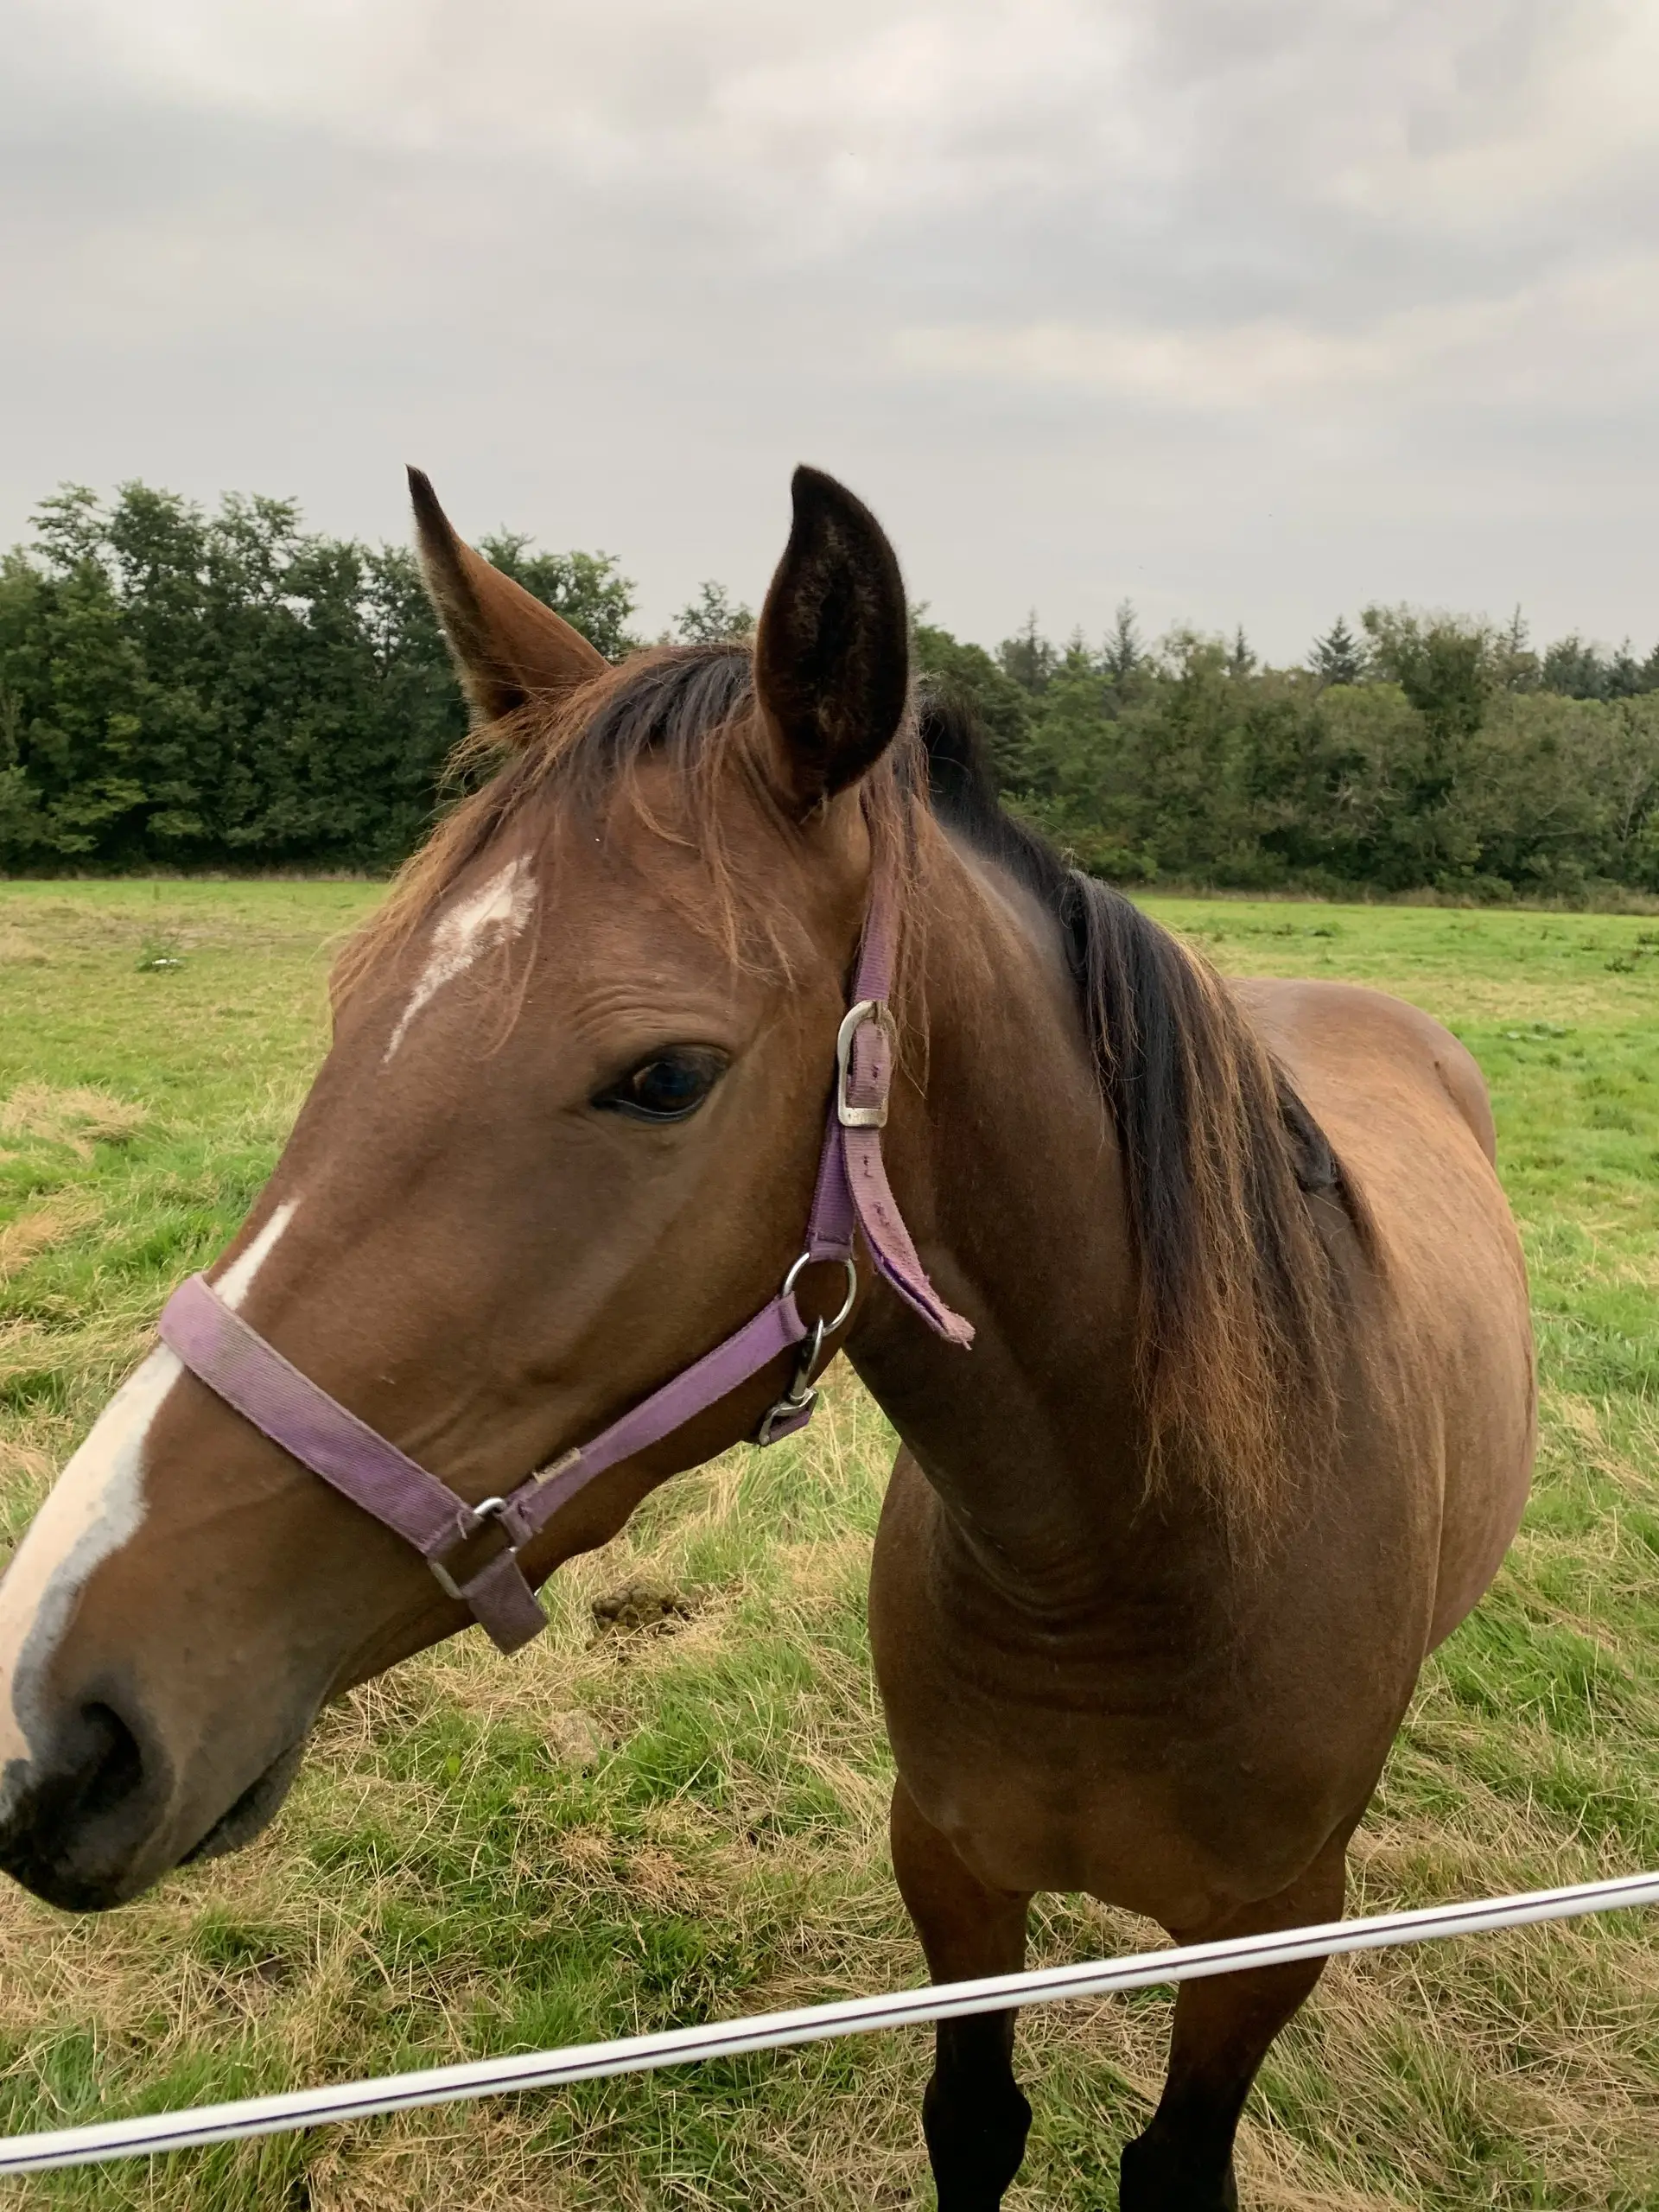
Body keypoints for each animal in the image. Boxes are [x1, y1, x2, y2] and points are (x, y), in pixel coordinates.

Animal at [0, 465, 1534, 2208]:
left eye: (666, 1075)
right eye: (351, 1004)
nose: (53, 1718)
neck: (1130, 1570)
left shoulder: (1266, 1943)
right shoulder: (951, 1874)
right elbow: (974, 2122)